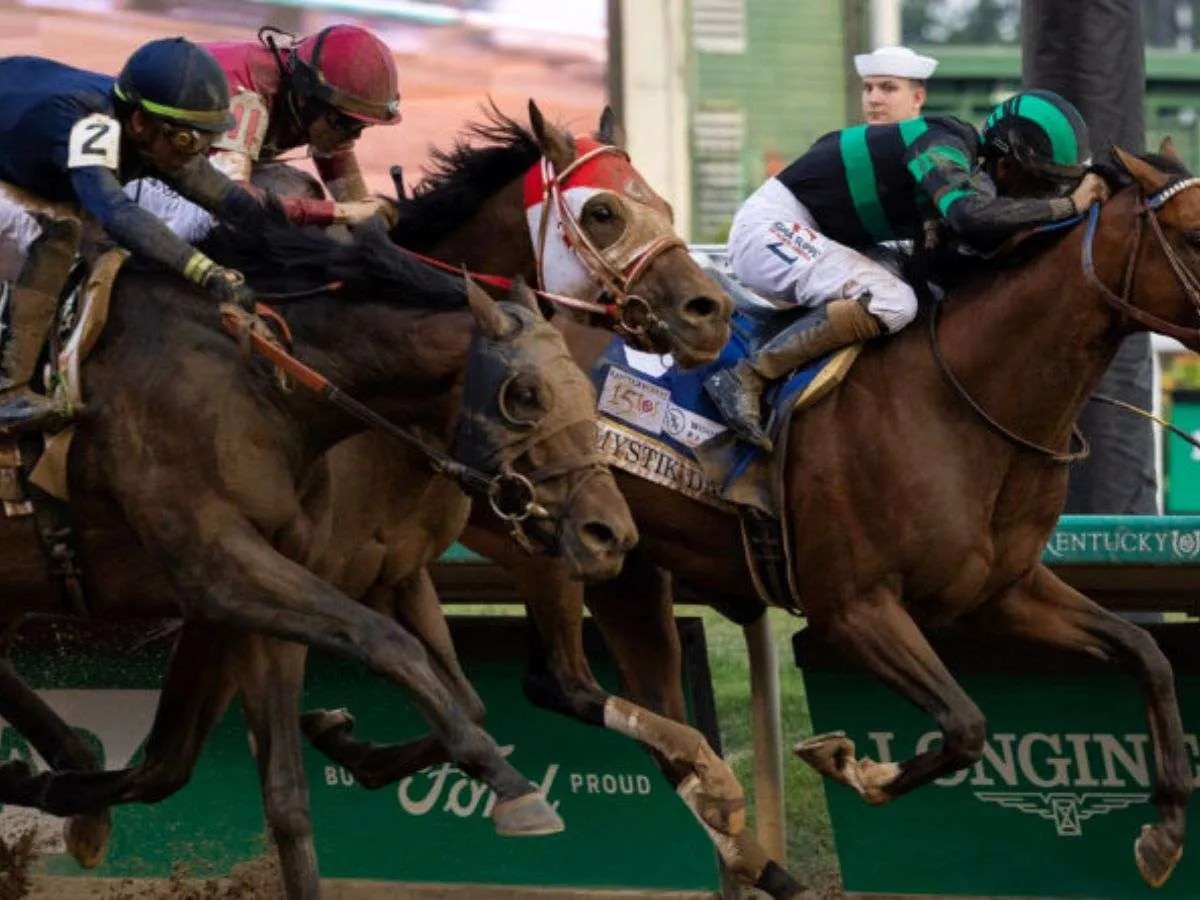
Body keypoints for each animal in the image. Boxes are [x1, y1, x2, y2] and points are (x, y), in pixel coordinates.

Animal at [0, 213, 638, 897]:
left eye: (585, 389)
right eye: (524, 395)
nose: (611, 534)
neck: (260, 383)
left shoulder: (282, 583)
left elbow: (280, 791)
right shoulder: (217, 565)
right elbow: (384, 641)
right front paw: (512, 786)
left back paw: (58, 782)